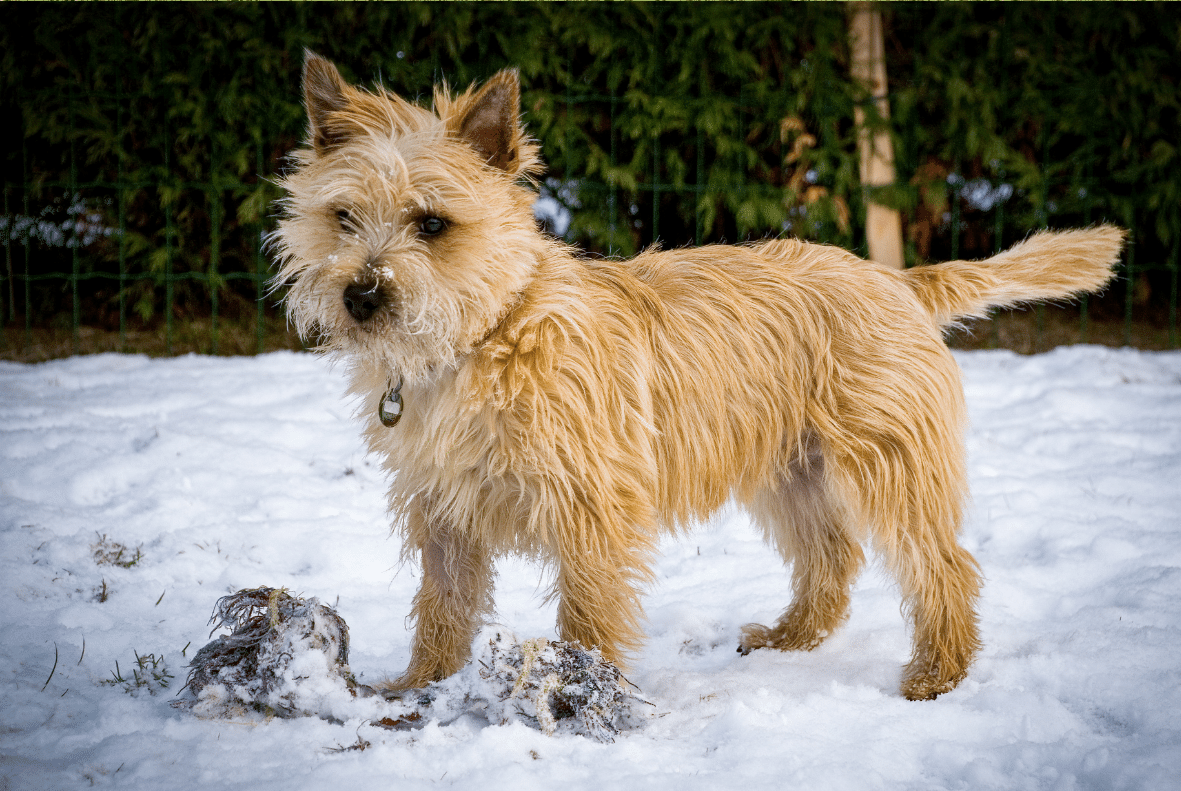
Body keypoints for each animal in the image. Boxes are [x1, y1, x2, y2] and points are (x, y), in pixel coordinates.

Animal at [273, 52, 1124, 703]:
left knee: (942, 565)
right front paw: (419, 687)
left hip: (890, 463)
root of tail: (896, 278)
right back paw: (790, 638)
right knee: (831, 558)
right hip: (793, 470)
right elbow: (441, 605)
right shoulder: (444, 513)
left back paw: (936, 674)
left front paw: (581, 694)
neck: (487, 335)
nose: (362, 294)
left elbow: (587, 612)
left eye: (432, 224)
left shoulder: (591, 508)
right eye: (343, 217)